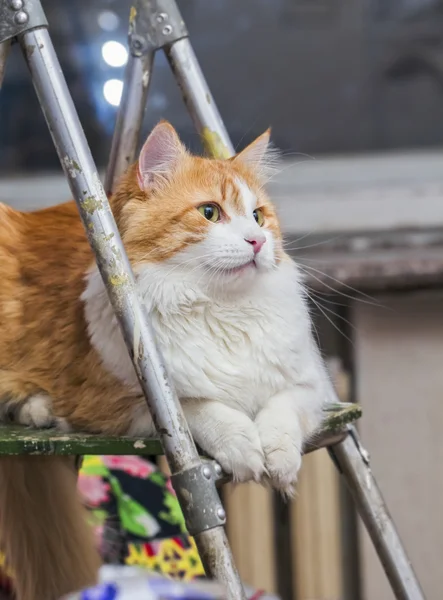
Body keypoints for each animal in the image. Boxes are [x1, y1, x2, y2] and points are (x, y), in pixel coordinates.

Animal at [0, 123, 332, 600]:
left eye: (258, 217)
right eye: (210, 212)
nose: (257, 241)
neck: (222, 310)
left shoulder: (309, 385)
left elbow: (281, 414)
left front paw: (280, 461)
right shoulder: (125, 401)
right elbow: (204, 409)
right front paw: (244, 448)